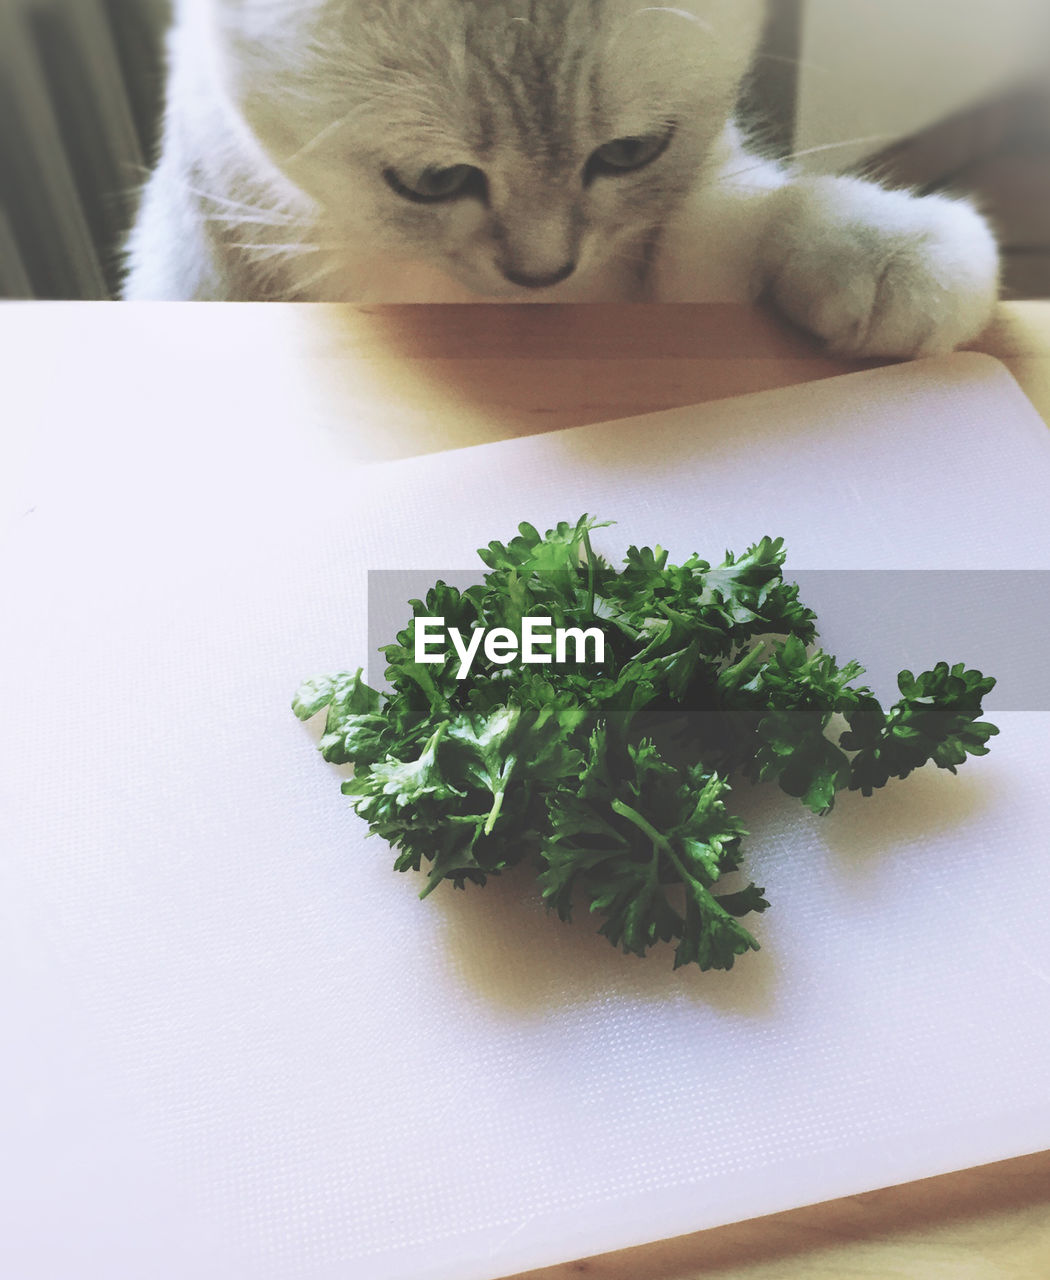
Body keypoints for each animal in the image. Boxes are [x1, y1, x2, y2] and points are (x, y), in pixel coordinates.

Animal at [119, 1, 998, 355]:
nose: (543, 275)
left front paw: (886, 250)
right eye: (432, 183)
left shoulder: (670, 240)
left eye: (629, 154)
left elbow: (741, 208)